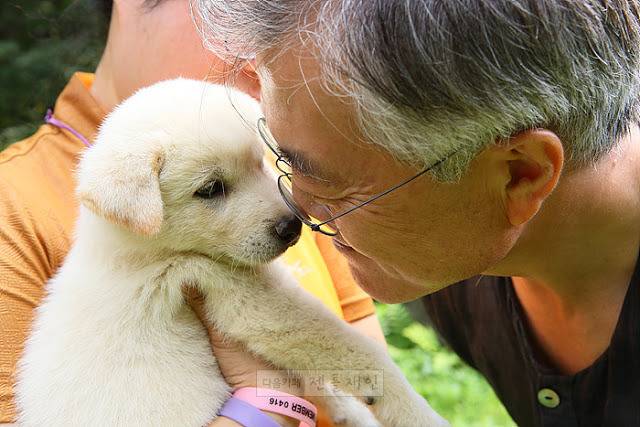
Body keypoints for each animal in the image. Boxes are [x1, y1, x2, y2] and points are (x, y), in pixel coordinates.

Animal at [13, 79, 444, 427]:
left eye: (259, 163)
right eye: (210, 189)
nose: (291, 227)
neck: (143, 249)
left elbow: (315, 379)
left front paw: (350, 412)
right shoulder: (243, 299)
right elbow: (361, 353)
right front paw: (416, 413)